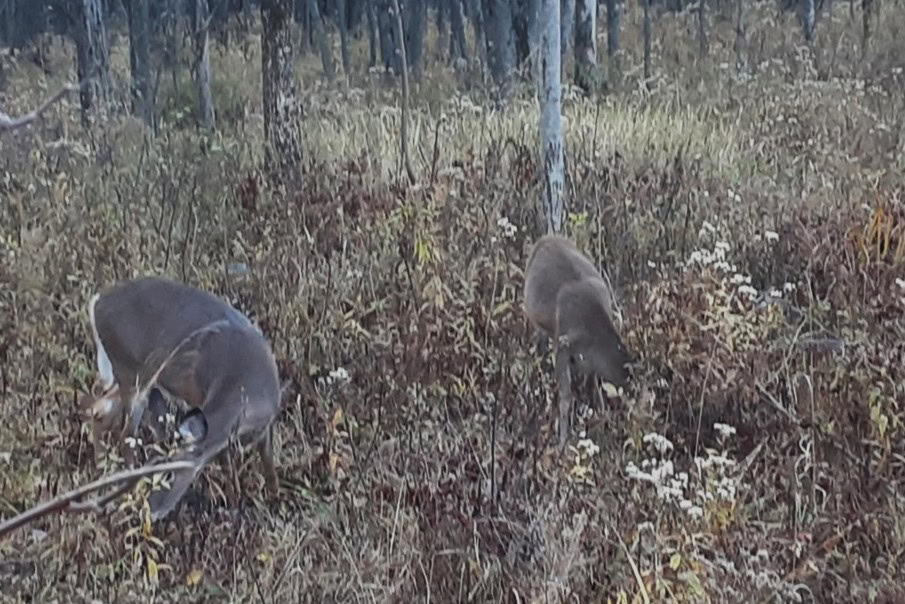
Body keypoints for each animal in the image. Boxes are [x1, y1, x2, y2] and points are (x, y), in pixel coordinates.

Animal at [85, 276, 284, 520]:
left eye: (170, 473)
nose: (150, 511)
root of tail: (97, 302)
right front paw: (235, 504)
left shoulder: (262, 427)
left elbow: (264, 462)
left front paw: (272, 499)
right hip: (131, 374)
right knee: (125, 436)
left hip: (135, 377)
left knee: (99, 410)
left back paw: (101, 468)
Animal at [520, 236, 632, 448]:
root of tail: (545, 239)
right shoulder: (562, 343)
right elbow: (566, 397)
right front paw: (562, 442)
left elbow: (595, 387)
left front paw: (602, 419)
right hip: (538, 323)